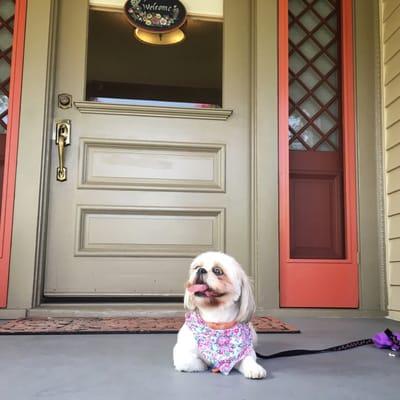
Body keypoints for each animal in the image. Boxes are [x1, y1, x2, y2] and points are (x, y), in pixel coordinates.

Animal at [173, 252, 268, 380]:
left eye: (217, 271)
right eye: (196, 267)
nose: (201, 270)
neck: (215, 317)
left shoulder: (246, 351)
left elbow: (248, 359)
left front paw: (254, 368)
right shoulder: (181, 352)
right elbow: (192, 362)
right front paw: (206, 363)